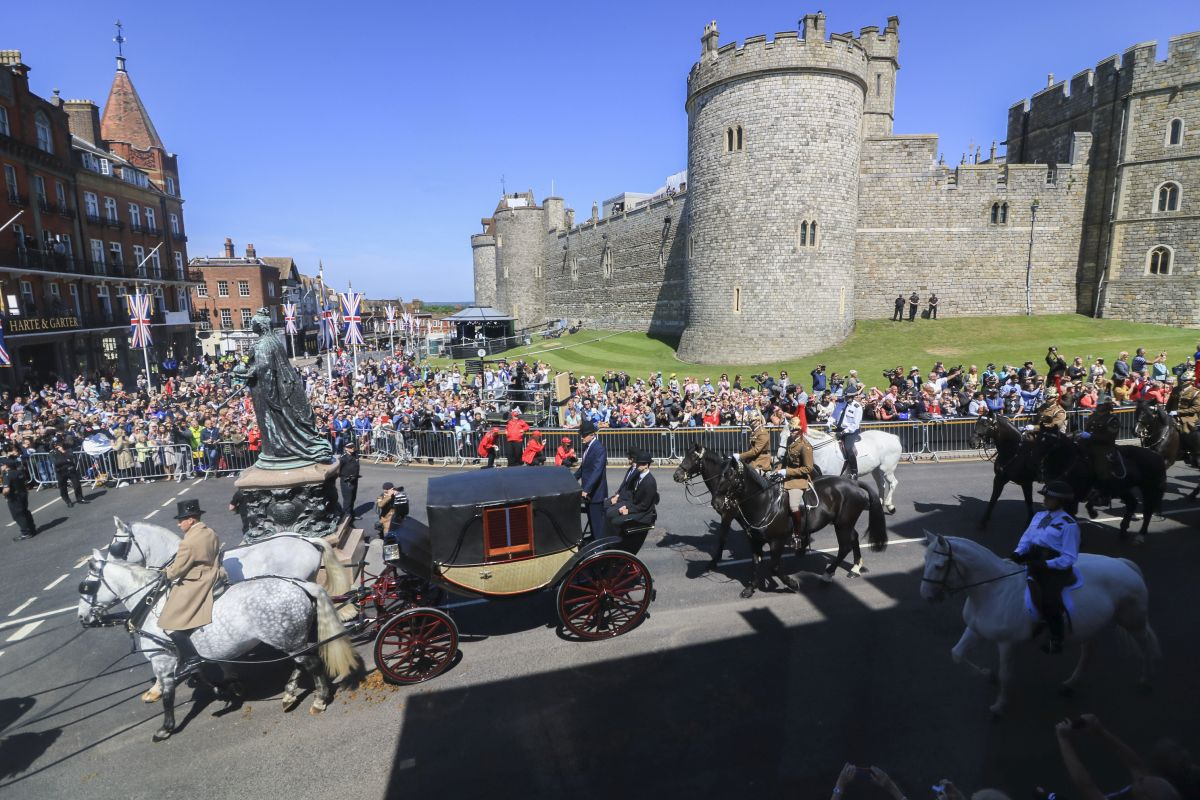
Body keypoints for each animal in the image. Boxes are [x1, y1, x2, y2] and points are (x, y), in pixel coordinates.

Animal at [78, 551, 360, 743]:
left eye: (86, 586)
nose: (82, 618)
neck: (151, 605)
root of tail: (298, 583)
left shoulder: (162, 660)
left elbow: (168, 695)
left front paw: (165, 728)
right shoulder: (194, 656)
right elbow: (204, 672)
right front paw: (225, 688)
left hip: (286, 638)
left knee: (311, 663)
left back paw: (319, 699)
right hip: (290, 639)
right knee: (303, 662)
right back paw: (290, 693)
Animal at [916, 534, 1161, 714]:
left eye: (939, 566)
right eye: (925, 561)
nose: (926, 596)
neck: (993, 591)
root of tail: (1123, 563)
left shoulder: (1006, 644)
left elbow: (1005, 674)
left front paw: (999, 705)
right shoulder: (974, 629)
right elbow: (957, 654)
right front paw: (988, 674)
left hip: (1133, 621)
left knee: (1147, 646)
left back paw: (1146, 681)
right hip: (1090, 626)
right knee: (1088, 652)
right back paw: (1071, 683)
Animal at [1036, 431, 1166, 544]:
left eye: (1049, 443)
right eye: (1037, 440)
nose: (1042, 472)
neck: (1072, 461)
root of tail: (1157, 457)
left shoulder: (1076, 496)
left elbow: (1073, 513)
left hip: (1149, 489)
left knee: (1147, 511)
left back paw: (1140, 536)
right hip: (1123, 490)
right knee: (1132, 503)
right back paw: (1123, 531)